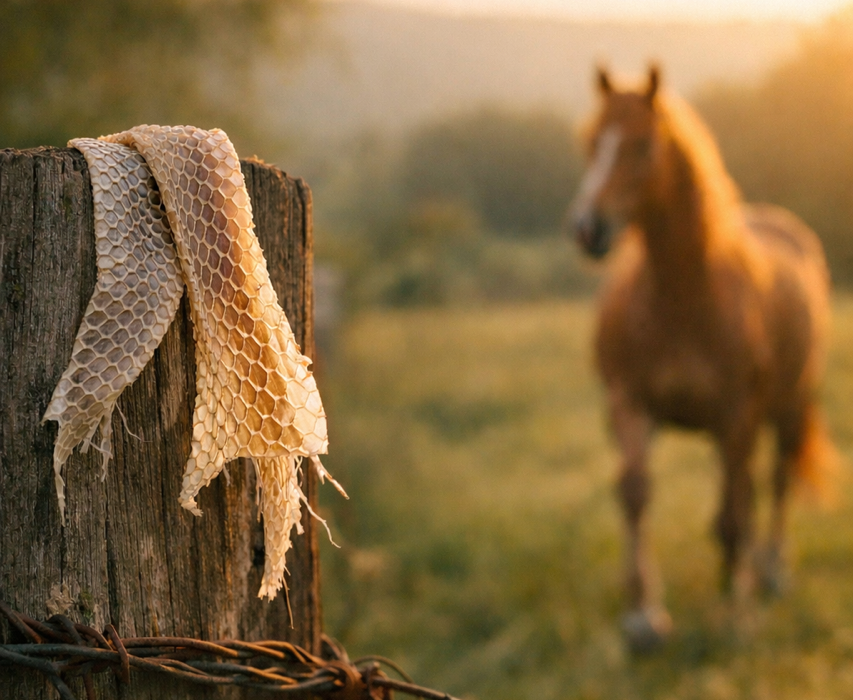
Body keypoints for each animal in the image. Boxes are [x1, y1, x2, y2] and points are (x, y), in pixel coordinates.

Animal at [570, 66, 837, 652]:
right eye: (592, 144)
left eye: (642, 145)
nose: (587, 228)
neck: (683, 298)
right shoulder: (630, 404)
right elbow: (635, 493)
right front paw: (643, 618)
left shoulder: (735, 415)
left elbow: (736, 516)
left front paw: (736, 616)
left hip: (785, 406)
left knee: (774, 481)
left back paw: (770, 571)